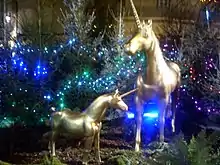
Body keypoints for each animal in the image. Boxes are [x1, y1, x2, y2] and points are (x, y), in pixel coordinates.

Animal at [124, 0, 180, 152]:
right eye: (135, 32)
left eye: (146, 34)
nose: (127, 48)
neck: (153, 78)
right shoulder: (139, 99)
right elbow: (139, 118)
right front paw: (136, 147)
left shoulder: (163, 99)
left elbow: (161, 119)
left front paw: (161, 142)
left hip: (175, 93)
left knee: (173, 109)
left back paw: (172, 129)